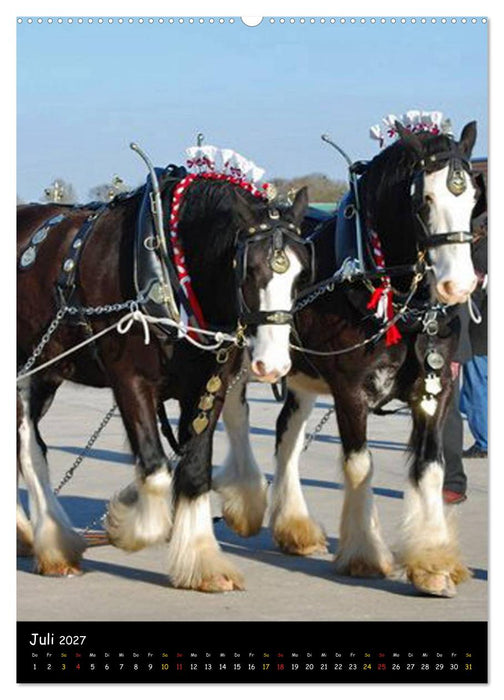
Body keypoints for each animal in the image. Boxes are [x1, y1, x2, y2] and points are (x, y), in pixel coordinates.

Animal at [17, 163, 311, 593]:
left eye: (301, 275)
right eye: (249, 269)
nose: (272, 365)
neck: (169, 269)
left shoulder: (207, 388)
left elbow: (194, 470)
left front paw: (203, 561)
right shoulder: (130, 381)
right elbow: (155, 469)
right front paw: (125, 524)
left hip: (47, 375)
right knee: (29, 450)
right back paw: (54, 545)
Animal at [214, 121, 480, 597]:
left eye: (471, 198)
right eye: (425, 200)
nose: (459, 285)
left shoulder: (436, 390)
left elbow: (430, 468)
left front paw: (433, 560)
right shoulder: (350, 390)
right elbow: (360, 465)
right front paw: (365, 554)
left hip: (297, 372)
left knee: (286, 434)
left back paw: (294, 526)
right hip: (247, 358)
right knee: (238, 416)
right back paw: (246, 500)